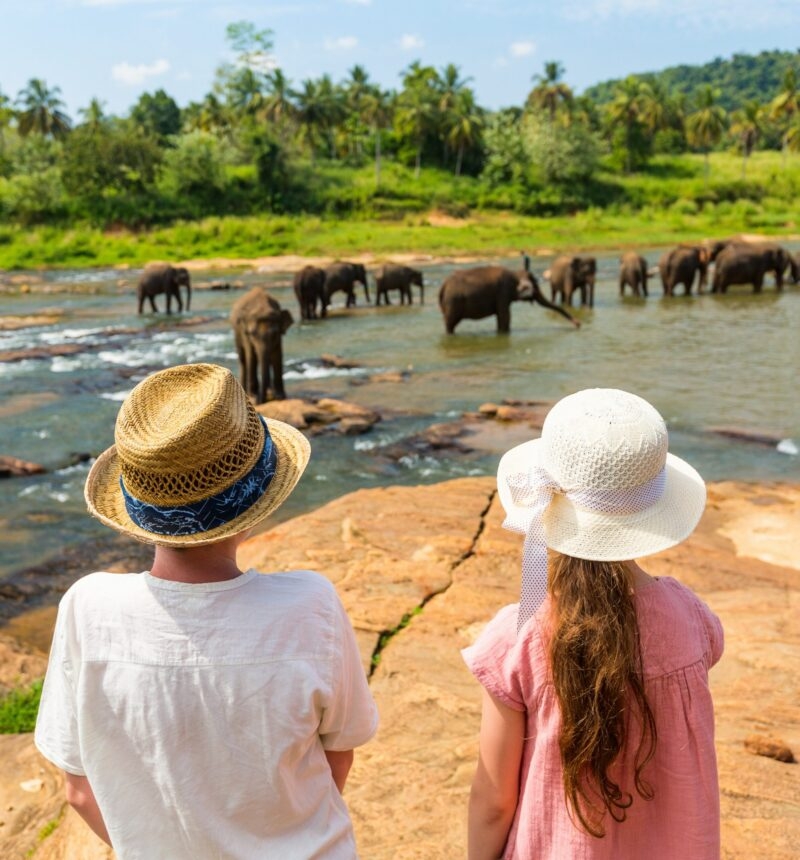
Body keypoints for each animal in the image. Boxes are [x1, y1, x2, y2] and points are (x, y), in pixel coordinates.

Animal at [438, 265, 580, 334]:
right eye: (535, 286)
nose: (578, 324)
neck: (515, 274)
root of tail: (443, 286)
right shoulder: (503, 292)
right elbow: (505, 316)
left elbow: (502, 317)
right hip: (453, 302)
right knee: (450, 323)